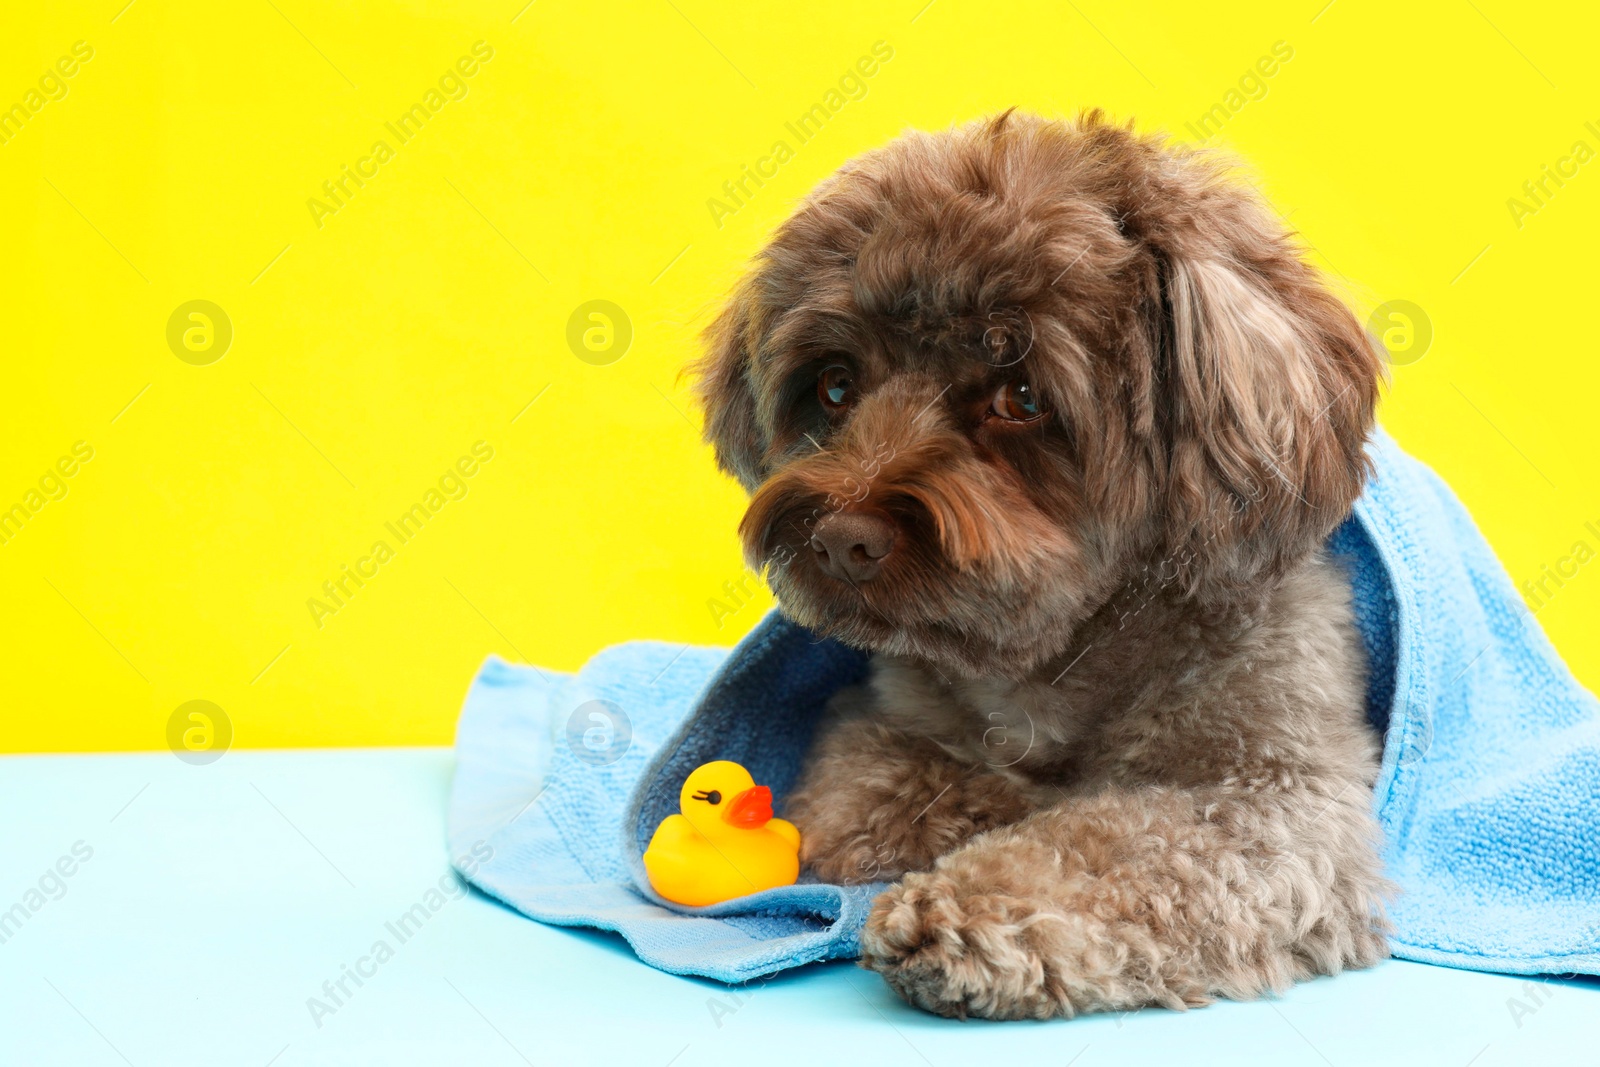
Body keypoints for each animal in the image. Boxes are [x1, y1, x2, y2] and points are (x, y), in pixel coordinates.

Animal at [691, 108, 1388, 1017]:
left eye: (1019, 395)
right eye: (836, 385)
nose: (842, 536)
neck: (1067, 649)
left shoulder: (1278, 793)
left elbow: (1111, 841)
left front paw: (971, 909)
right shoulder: (881, 721)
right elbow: (875, 790)